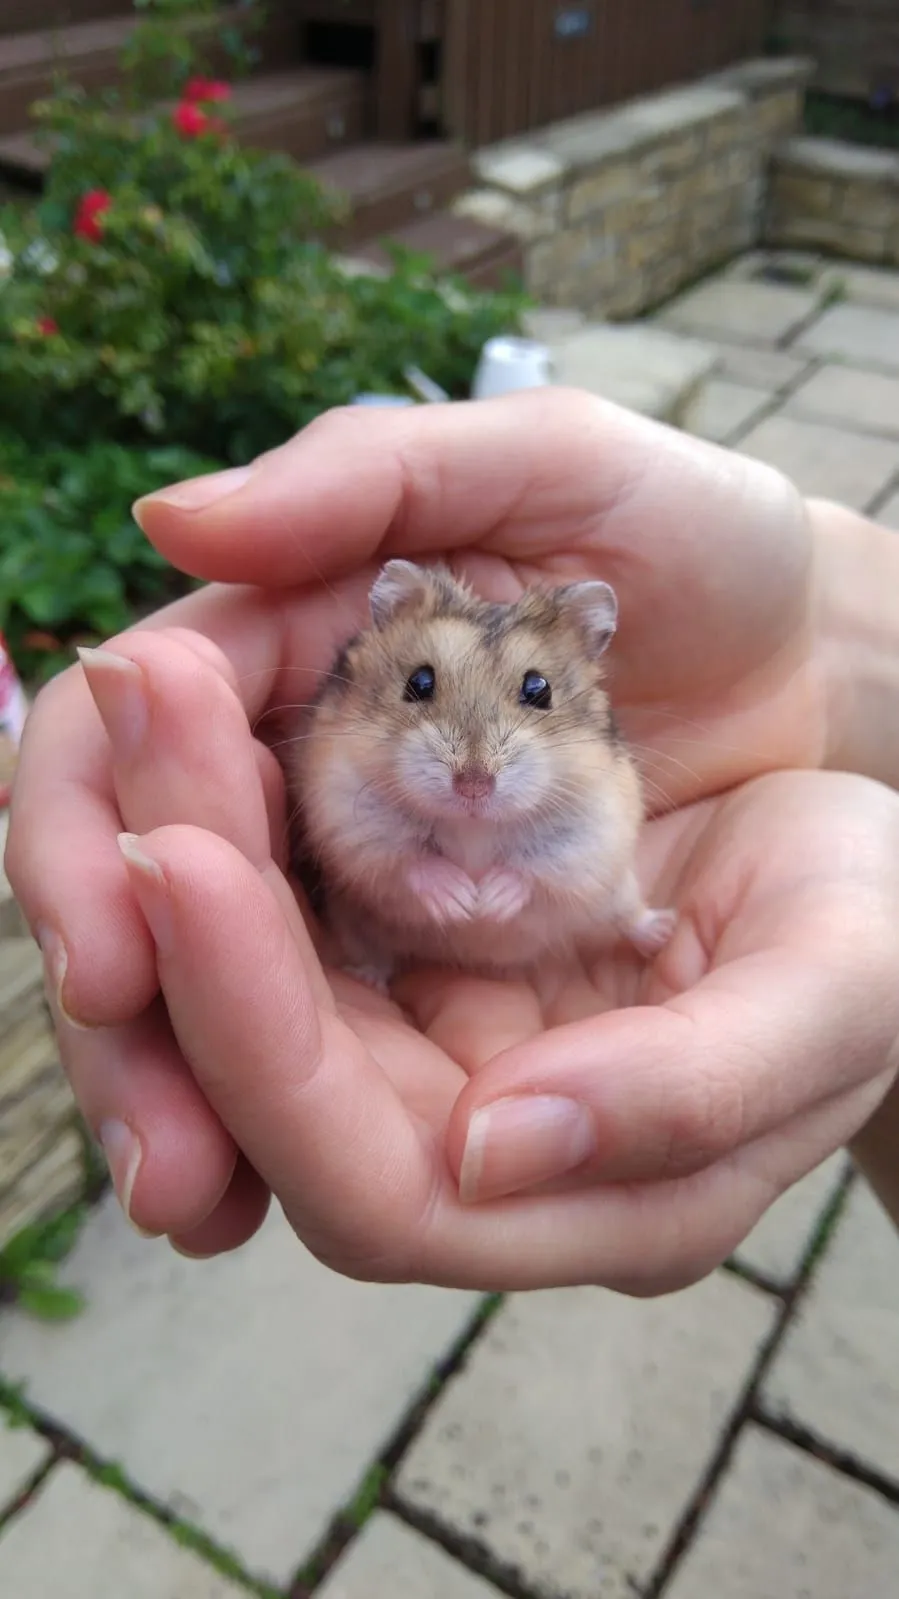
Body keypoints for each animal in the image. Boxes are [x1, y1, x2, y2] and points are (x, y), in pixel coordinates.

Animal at [291, 559, 676, 989]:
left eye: (539, 689)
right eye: (418, 682)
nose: (473, 786)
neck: (472, 824)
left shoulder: (589, 832)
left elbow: (534, 869)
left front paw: (487, 902)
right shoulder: (349, 814)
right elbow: (408, 859)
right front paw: (462, 901)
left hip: (616, 889)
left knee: (627, 915)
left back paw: (663, 933)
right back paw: (367, 978)